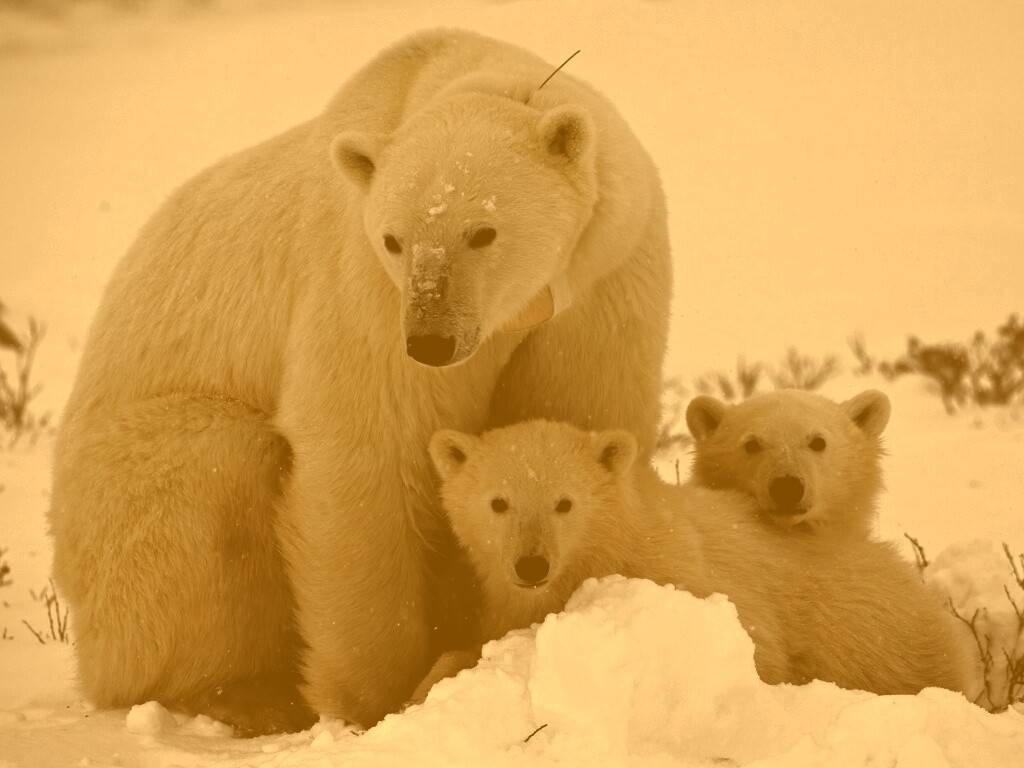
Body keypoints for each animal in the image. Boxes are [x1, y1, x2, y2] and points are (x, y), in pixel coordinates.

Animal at [48, 28, 671, 733]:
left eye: (483, 231)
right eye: (395, 239)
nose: (430, 342)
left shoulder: (602, 280)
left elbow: (576, 414)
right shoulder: (362, 284)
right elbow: (366, 447)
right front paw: (379, 697)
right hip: (117, 503)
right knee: (212, 474)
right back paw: (244, 694)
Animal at [413, 423, 974, 708]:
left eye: (564, 503)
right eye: (498, 502)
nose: (531, 565)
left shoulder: (682, 573)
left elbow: (757, 652)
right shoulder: (506, 602)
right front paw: (423, 688)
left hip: (872, 628)